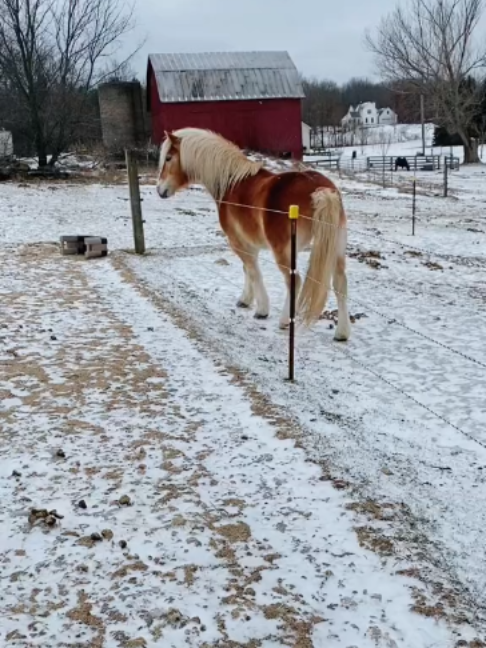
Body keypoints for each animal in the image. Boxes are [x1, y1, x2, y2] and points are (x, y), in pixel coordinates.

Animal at [157, 128, 351, 341]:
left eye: (168, 158)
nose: (160, 190)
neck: (230, 182)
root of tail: (321, 190)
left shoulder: (237, 242)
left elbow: (254, 272)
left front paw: (261, 310)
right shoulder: (250, 244)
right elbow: (247, 270)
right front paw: (245, 300)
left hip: (284, 252)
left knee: (294, 281)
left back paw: (284, 320)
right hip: (335, 248)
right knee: (340, 284)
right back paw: (342, 333)